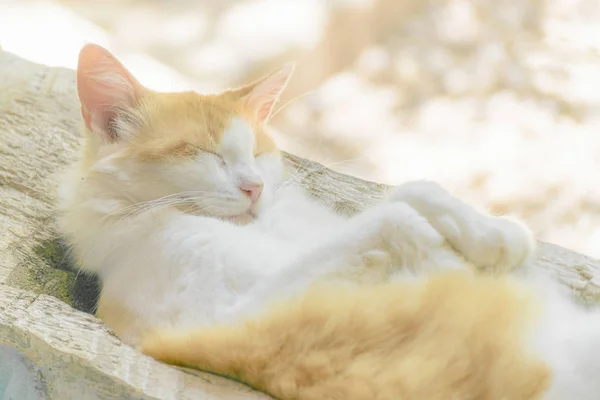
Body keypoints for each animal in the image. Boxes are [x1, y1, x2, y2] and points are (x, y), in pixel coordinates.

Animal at [57, 43, 600, 400]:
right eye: (204, 154)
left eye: (257, 153)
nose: (255, 187)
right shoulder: (230, 317)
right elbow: (391, 218)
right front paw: (446, 260)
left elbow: (410, 190)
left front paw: (495, 236)